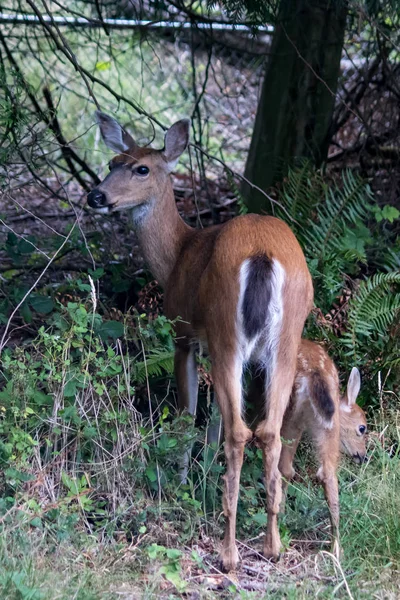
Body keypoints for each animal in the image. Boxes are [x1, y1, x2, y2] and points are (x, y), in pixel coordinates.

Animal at [89, 113, 314, 572]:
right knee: (267, 430)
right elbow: (210, 422)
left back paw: (229, 552)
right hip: (284, 340)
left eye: (142, 168)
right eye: (112, 161)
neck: (177, 254)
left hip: (227, 329)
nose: (96, 195)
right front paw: (203, 477)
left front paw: (180, 482)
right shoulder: (212, 345)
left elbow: (188, 414)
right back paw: (272, 545)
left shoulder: (185, 333)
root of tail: (262, 255)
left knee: (240, 431)